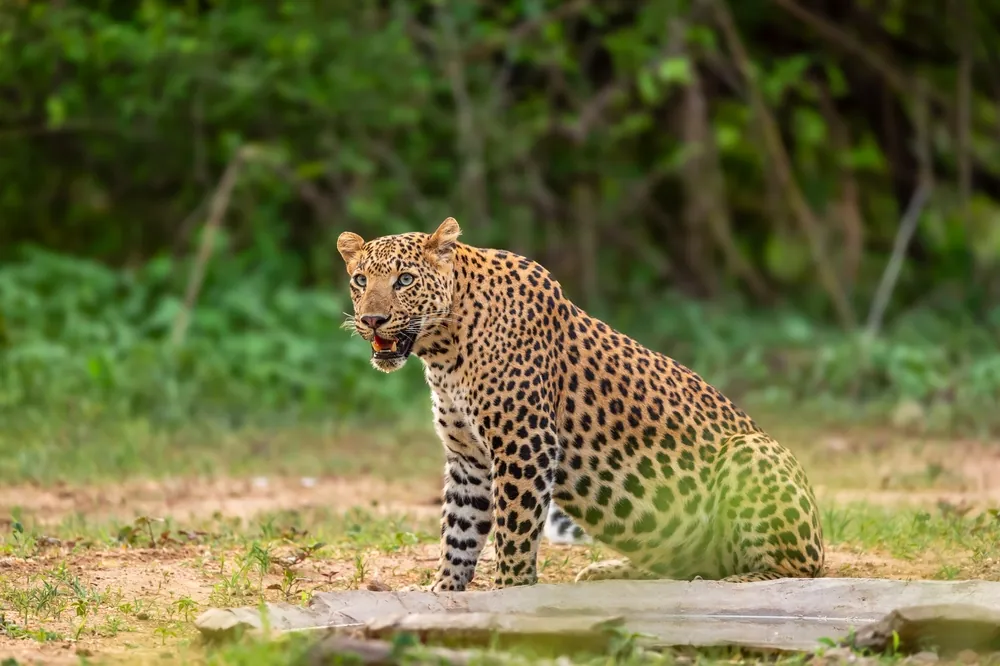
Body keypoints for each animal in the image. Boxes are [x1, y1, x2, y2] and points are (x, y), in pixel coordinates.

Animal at [336, 217, 825, 590]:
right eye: (360, 280)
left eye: (404, 280)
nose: (372, 319)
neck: (443, 351)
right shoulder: (468, 458)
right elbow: (459, 529)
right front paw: (444, 588)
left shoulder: (524, 443)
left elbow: (514, 529)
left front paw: (509, 589)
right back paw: (609, 571)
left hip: (753, 455)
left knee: (796, 570)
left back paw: (728, 583)